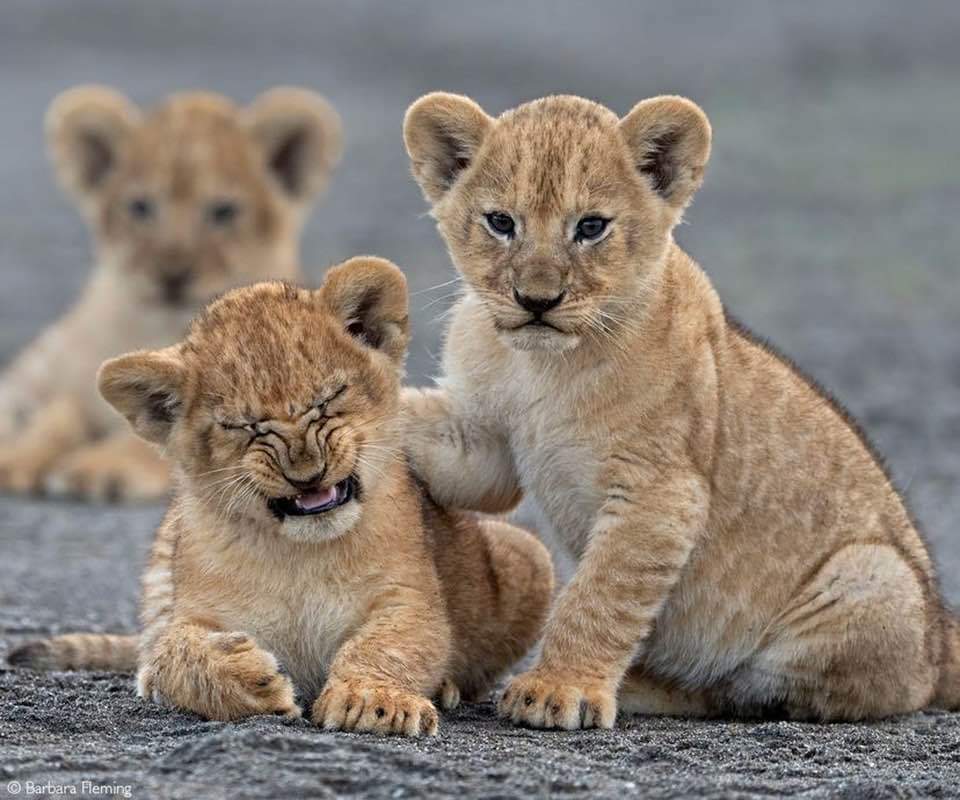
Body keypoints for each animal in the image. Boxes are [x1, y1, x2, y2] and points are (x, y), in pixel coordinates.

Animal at [0, 85, 342, 503]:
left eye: (223, 211)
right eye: (141, 206)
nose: (173, 274)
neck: (154, 325)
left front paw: (100, 468)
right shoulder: (65, 383)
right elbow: (55, 415)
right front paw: (17, 457)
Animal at [9, 256, 554, 736]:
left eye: (328, 399)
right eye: (243, 426)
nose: (305, 473)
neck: (300, 556)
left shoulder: (409, 596)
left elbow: (392, 644)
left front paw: (374, 701)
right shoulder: (191, 614)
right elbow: (174, 651)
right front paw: (248, 679)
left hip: (524, 554)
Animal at [400, 91, 960, 725]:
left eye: (590, 227)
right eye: (501, 222)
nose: (537, 301)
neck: (543, 365)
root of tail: (941, 637)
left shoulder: (661, 489)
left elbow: (599, 597)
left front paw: (559, 689)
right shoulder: (486, 442)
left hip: (868, 578)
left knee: (747, 692)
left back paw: (642, 687)